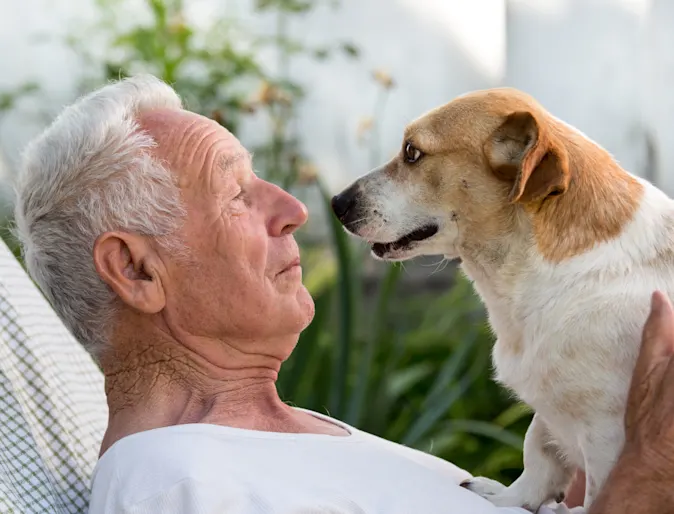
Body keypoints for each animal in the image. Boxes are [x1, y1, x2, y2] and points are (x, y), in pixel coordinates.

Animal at [330, 87, 672, 508]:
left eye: (412, 152)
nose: (336, 202)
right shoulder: (551, 415)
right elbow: (538, 451)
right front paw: (509, 498)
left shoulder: (607, 433)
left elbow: (592, 491)